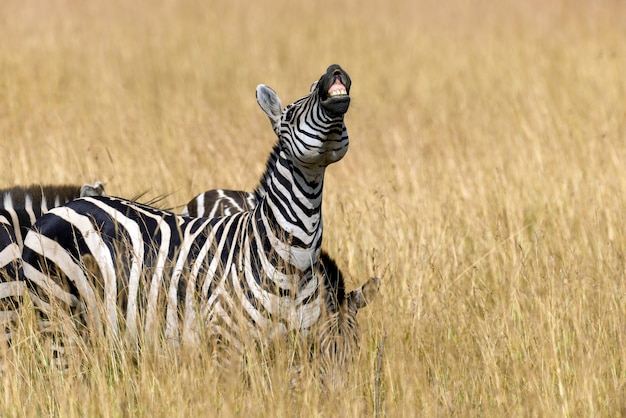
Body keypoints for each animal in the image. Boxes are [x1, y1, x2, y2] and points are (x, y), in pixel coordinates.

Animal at [20, 63, 376, 380]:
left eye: (355, 348)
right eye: (290, 114)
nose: (333, 69)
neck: (293, 258)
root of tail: (70, 204)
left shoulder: (297, 349)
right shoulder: (225, 345)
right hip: (56, 318)